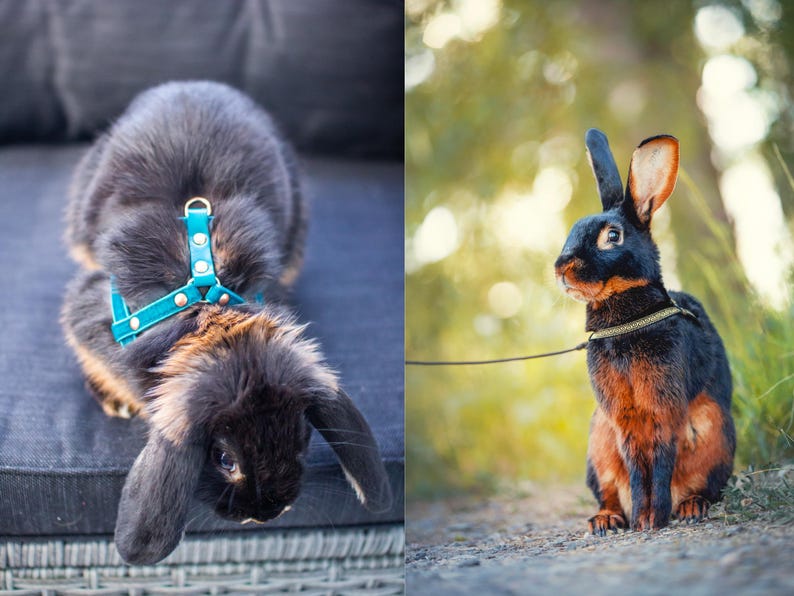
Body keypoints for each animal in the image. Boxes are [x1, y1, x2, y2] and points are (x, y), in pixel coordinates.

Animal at [61, 81, 392, 565]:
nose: (265, 514)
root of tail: (194, 83)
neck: (206, 309)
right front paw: (115, 400)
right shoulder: (88, 315)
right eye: (223, 459)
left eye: (301, 437)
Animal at [554, 129, 735, 535]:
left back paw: (690, 507)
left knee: (703, 486)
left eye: (613, 236)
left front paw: (655, 519)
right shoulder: (623, 418)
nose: (560, 268)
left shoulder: (664, 407)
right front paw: (642, 519)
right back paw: (605, 520)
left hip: (715, 432)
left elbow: (660, 459)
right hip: (599, 442)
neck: (625, 320)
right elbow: (638, 465)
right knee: (608, 492)